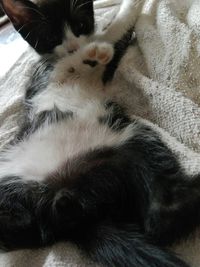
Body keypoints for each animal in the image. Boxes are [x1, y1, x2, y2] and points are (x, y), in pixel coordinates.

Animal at [0, 0, 200, 267]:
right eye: (51, 36)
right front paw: (93, 49)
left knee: (161, 213)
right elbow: (90, 48)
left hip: (131, 144)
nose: (74, 46)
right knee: (160, 217)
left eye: (80, 25)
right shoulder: (44, 77)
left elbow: (118, 33)